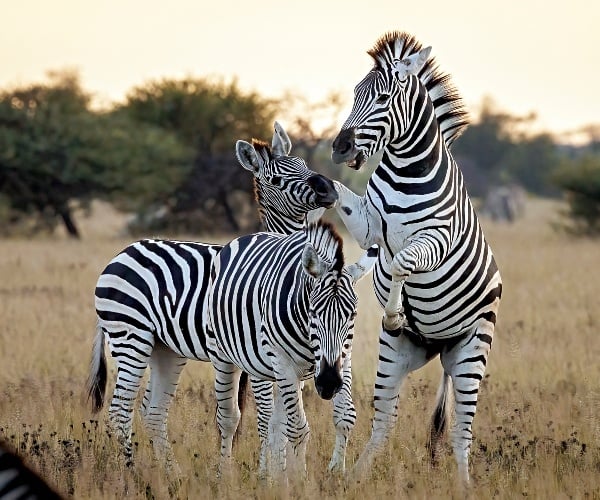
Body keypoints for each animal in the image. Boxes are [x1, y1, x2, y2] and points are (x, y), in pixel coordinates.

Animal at [328, 31, 502, 484]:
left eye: (383, 97)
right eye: (355, 94)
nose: (339, 146)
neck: (405, 173)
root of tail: (440, 348)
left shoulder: (436, 236)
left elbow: (400, 262)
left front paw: (393, 310)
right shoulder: (368, 225)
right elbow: (337, 191)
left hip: (471, 352)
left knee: (461, 431)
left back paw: (464, 486)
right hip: (397, 355)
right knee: (384, 422)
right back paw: (354, 479)